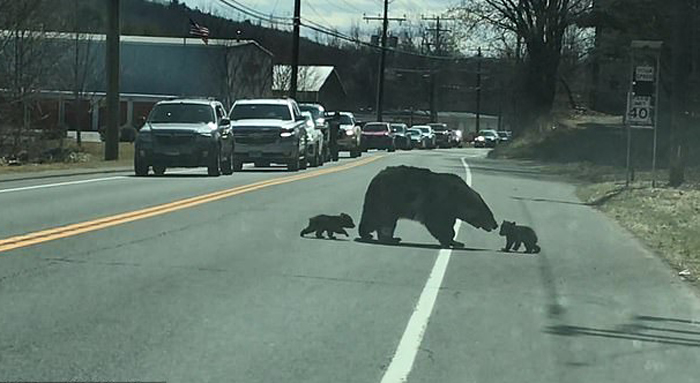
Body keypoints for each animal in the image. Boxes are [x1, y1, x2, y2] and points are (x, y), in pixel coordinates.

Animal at [358, 166, 500, 249]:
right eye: (488, 213)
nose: (495, 224)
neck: (458, 198)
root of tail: (375, 178)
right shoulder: (439, 202)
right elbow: (438, 223)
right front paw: (449, 241)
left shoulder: (450, 211)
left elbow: (448, 224)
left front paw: (455, 241)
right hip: (387, 199)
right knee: (379, 218)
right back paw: (375, 235)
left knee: (385, 221)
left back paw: (390, 237)